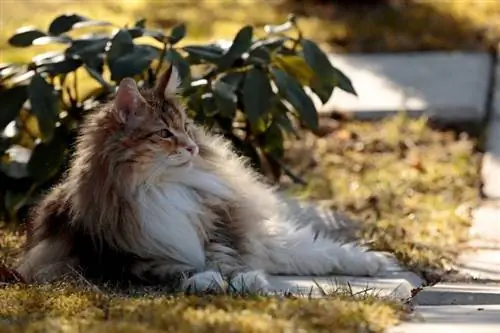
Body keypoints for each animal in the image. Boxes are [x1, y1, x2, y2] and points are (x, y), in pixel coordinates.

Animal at [15, 65, 388, 294]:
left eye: (185, 127)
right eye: (164, 134)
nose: (192, 147)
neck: (161, 188)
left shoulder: (222, 231)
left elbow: (243, 258)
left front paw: (245, 280)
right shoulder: (122, 260)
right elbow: (177, 269)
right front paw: (212, 280)